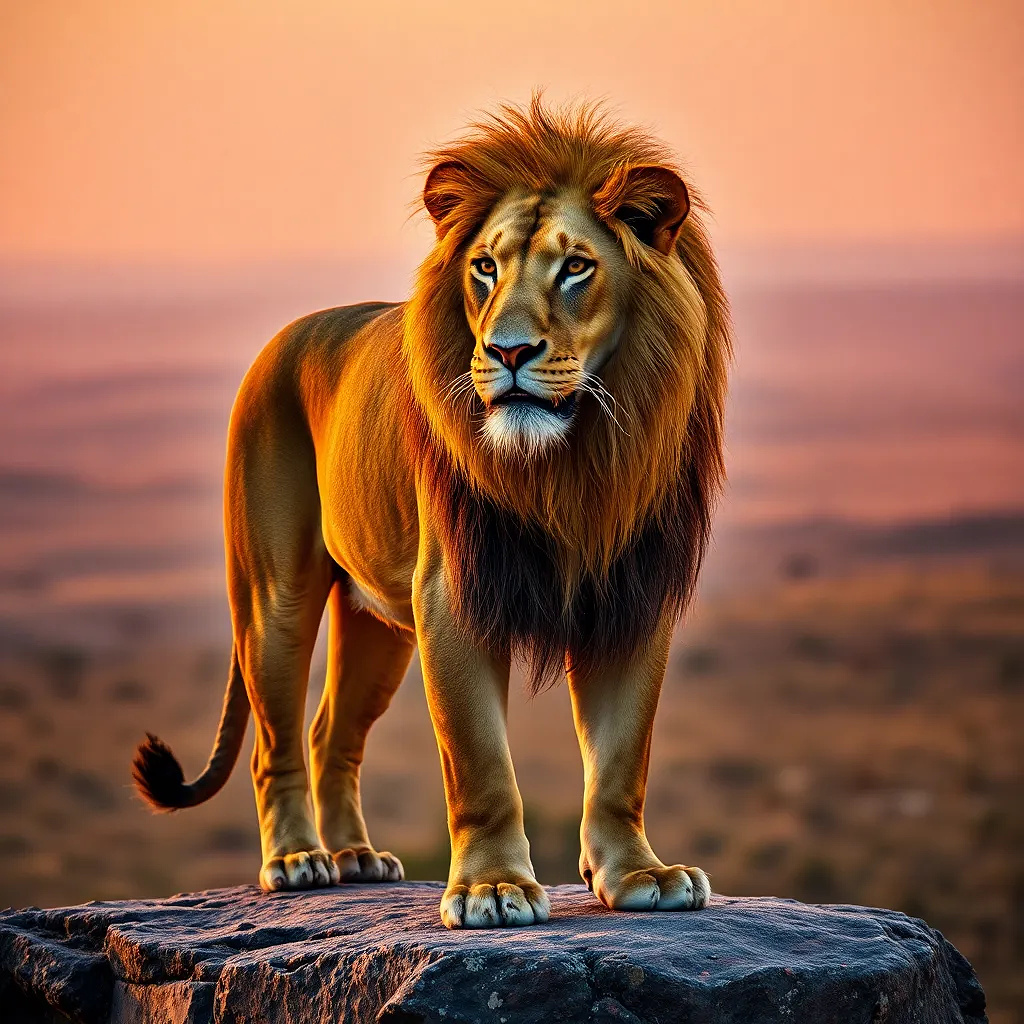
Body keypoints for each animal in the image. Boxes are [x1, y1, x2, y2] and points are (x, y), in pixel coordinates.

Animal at [132, 98, 731, 929]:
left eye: (576, 267)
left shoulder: (631, 596)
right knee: (274, 741)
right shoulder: (451, 595)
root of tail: (285, 337)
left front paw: (640, 874)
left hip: (377, 623)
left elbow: (620, 758)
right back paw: (297, 862)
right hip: (274, 597)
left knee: (331, 732)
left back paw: (356, 858)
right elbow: (480, 762)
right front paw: (492, 889)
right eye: (485, 267)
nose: (507, 352)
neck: (575, 463)